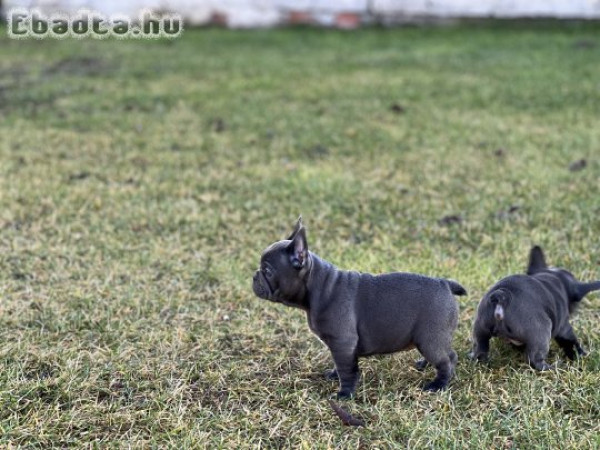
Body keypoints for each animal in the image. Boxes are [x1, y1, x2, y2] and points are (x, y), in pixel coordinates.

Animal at [251, 218, 466, 398]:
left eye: (267, 270)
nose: (254, 275)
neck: (319, 286)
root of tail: (445, 283)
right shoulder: (341, 347)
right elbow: (340, 365)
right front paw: (334, 376)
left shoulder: (342, 343)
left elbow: (347, 370)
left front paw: (344, 395)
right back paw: (424, 365)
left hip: (430, 337)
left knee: (448, 359)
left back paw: (438, 385)